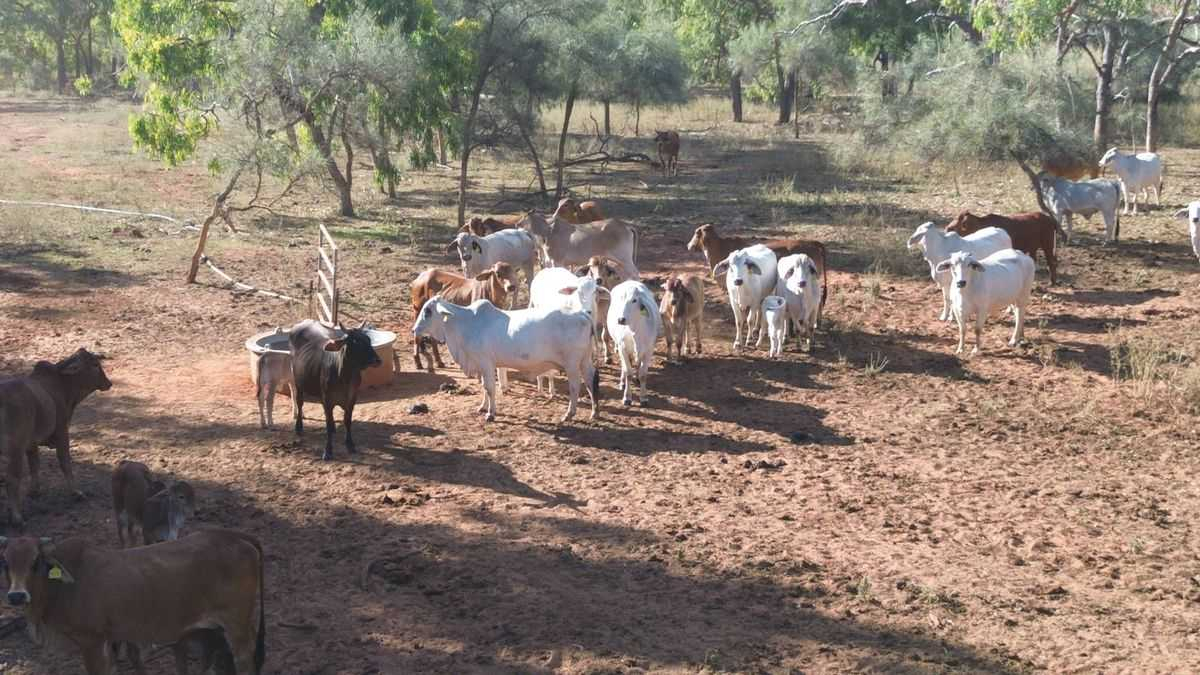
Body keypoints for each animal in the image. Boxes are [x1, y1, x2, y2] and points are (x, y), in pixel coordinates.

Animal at [0, 348, 111, 528]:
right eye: (95, 364)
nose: (108, 383)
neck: (62, 387)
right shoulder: (62, 433)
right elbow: (65, 463)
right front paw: (76, 492)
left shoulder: (31, 443)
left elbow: (35, 465)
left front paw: (34, 491)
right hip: (14, 450)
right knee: (11, 480)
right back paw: (17, 518)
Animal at [0, 529, 265, 675]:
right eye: (5, 562)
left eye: (35, 561)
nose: (17, 595)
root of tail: (235, 537)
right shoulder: (110, 641)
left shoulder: (91, 642)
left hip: (237, 624)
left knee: (245, 660)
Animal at [289, 320, 381, 461]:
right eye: (355, 341)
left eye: (368, 339)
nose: (377, 360)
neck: (344, 376)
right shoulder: (327, 399)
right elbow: (327, 423)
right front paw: (328, 451)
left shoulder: (351, 399)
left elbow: (347, 421)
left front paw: (350, 444)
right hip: (298, 382)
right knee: (299, 402)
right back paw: (299, 427)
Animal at [412, 298, 599, 423]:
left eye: (428, 311)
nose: (414, 329)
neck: (465, 323)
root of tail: (582, 314)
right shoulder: (482, 365)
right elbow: (484, 387)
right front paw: (482, 407)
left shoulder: (486, 363)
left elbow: (489, 388)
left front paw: (490, 414)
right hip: (585, 360)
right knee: (591, 380)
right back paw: (594, 412)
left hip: (572, 363)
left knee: (575, 386)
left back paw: (569, 414)